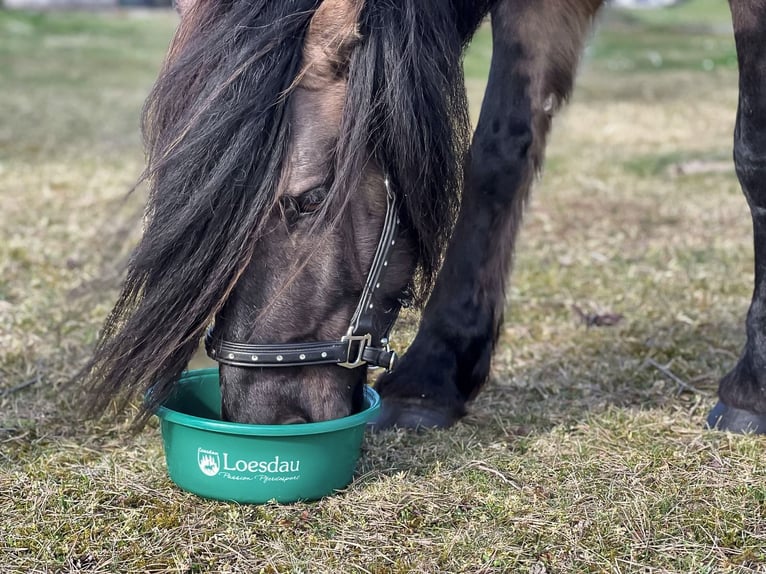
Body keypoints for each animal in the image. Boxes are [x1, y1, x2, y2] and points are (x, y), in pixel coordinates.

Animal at [83, 0, 766, 434]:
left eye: (308, 199)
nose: (261, 414)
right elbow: (496, 155)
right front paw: (432, 377)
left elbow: (753, 152)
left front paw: (751, 390)